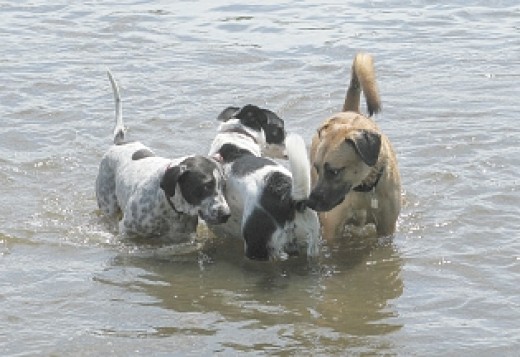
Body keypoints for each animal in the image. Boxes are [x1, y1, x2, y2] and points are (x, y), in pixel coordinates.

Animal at [95, 69, 230, 242]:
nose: (226, 214)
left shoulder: (184, 238)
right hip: (107, 205)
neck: (170, 207)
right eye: (206, 186)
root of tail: (120, 142)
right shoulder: (126, 231)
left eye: (224, 186)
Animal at [308, 52, 402, 239]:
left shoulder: (387, 228)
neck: (363, 188)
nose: (310, 202)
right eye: (317, 168)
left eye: (334, 171)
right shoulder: (332, 231)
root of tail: (349, 110)